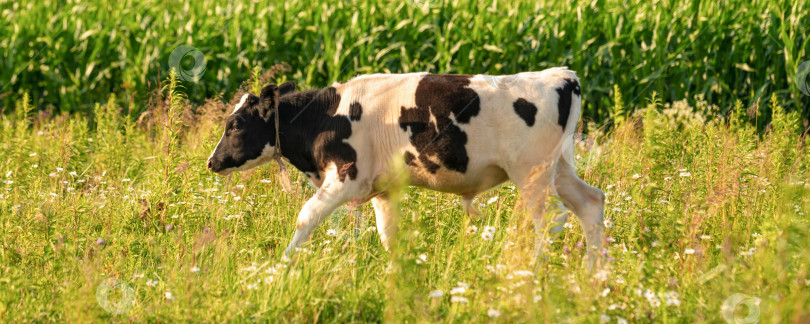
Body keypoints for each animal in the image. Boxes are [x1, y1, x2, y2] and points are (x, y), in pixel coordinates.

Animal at [205, 67, 604, 260]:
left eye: (235, 124)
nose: (211, 162)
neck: (326, 116)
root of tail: (560, 75)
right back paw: (595, 274)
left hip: (531, 173)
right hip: (558, 169)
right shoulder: (383, 189)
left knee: (551, 219)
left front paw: (283, 266)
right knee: (591, 202)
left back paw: (530, 273)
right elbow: (388, 235)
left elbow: (307, 216)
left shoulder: (346, 176)